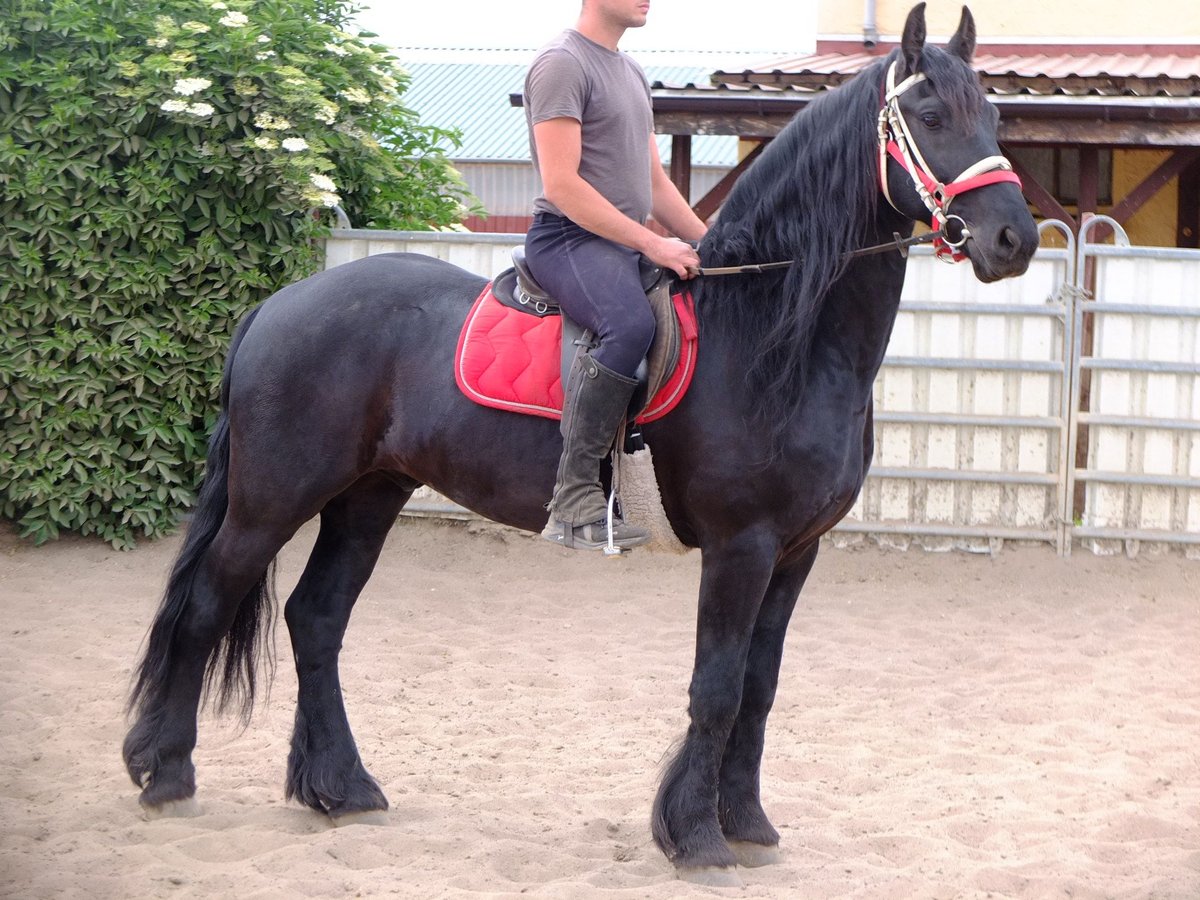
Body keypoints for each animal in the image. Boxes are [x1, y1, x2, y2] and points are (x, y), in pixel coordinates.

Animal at [124, 3, 1041, 883]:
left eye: (993, 113)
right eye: (929, 112)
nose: (1014, 239)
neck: (772, 334)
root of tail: (281, 303)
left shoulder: (796, 551)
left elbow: (760, 687)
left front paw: (747, 825)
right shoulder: (741, 547)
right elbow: (717, 688)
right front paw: (697, 839)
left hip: (368, 496)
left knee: (315, 619)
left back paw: (341, 789)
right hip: (273, 499)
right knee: (206, 605)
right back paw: (166, 773)